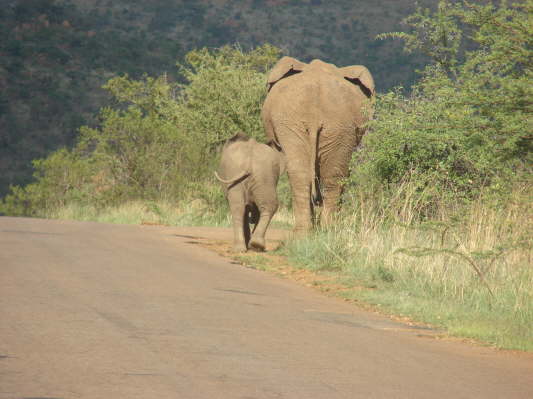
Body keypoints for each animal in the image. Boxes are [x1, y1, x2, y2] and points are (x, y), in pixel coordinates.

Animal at [262, 54, 374, 233]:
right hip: (328, 125)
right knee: (326, 174)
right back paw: (320, 229)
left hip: (329, 125)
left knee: (316, 172)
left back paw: (315, 230)